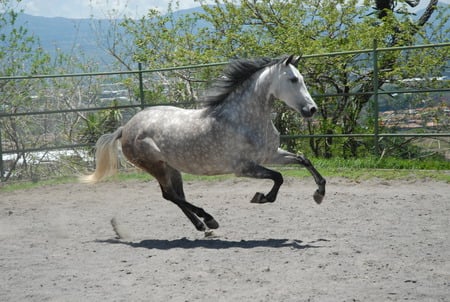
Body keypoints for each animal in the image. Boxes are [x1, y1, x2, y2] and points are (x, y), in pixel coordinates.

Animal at [82, 54, 326, 231]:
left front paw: (319, 194)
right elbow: (278, 177)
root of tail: (125, 128)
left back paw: (203, 226)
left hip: (171, 167)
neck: (242, 119)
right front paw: (261, 198)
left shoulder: (271, 154)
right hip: (155, 166)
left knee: (175, 196)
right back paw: (208, 219)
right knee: (170, 195)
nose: (312, 109)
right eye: (293, 79)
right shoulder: (244, 168)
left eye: (301, 79)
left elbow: (303, 160)